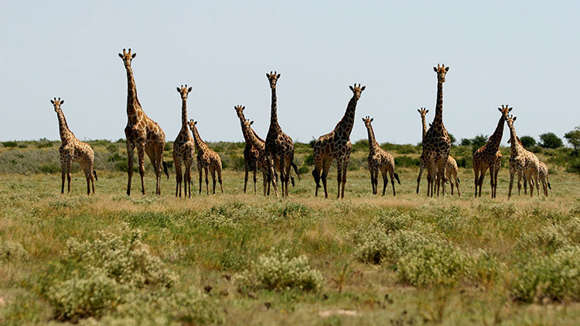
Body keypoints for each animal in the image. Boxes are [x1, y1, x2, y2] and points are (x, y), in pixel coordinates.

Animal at [118, 47, 168, 195]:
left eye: (131, 58)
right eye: (123, 58)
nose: (127, 64)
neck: (131, 115)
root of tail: (163, 133)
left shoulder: (140, 142)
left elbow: (141, 169)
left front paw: (144, 191)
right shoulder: (130, 142)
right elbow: (130, 169)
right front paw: (128, 192)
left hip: (160, 146)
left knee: (159, 168)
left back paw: (158, 192)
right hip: (150, 149)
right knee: (156, 167)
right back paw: (157, 191)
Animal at [416, 63, 454, 196]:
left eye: (445, 72)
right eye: (437, 72)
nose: (442, 79)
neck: (438, 126)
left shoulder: (443, 155)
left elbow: (441, 177)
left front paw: (440, 196)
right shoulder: (431, 156)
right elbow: (432, 177)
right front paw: (432, 195)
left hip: (439, 159)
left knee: (439, 177)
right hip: (430, 158)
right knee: (431, 177)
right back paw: (430, 193)